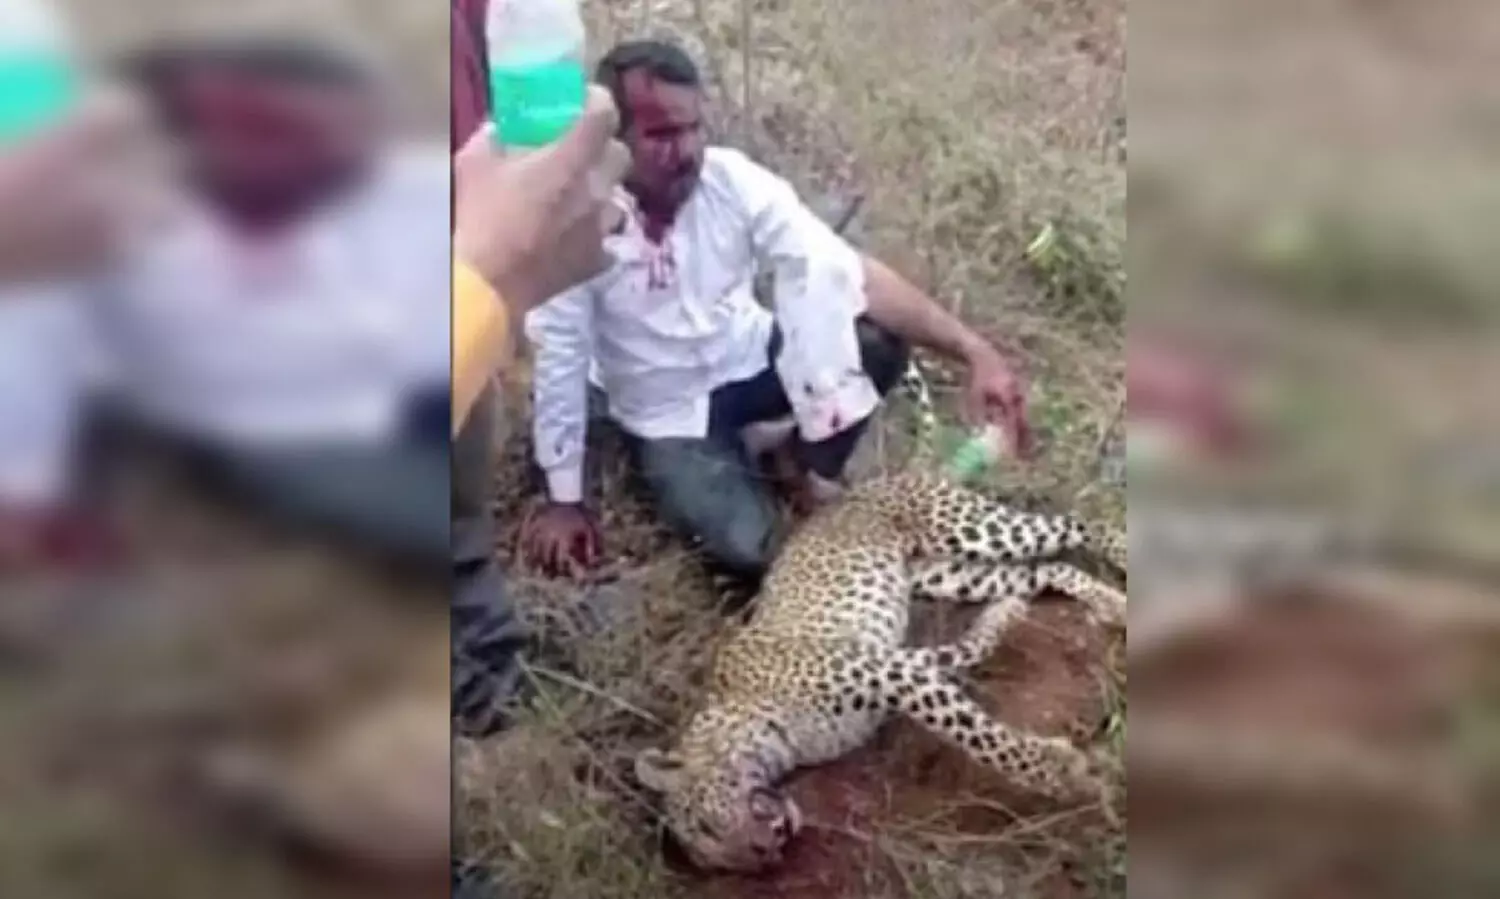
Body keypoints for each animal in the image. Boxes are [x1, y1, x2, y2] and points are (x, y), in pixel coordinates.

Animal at [633, 356, 1128, 873]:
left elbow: (976, 735)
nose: (764, 853)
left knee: (1077, 524)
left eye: (705, 825)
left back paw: (1125, 559)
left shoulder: (887, 672)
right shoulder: (905, 665)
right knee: (1042, 568)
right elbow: (968, 653)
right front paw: (1003, 620)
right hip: (948, 573)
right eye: (719, 861)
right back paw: (1108, 603)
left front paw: (1060, 773)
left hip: (971, 528)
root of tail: (885, 478)